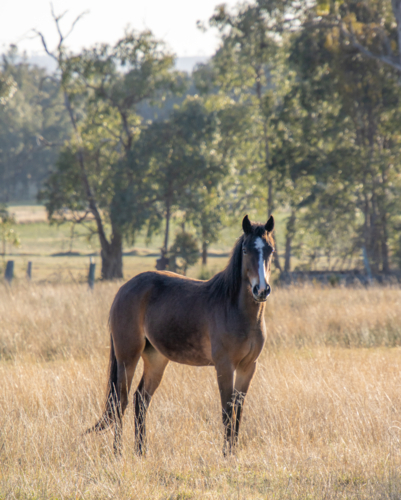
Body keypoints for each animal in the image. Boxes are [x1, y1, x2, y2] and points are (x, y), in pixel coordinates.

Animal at [86, 213, 276, 456]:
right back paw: (118, 453)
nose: (261, 290)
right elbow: (226, 410)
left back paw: (141, 452)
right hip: (127, 357)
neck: (235, 309)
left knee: (140, 400)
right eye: (245, 249)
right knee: (121, 401)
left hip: (156, 359)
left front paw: (233, 453)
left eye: (270, 249)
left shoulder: (248, 367)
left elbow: (238, 411)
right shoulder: (225, 366)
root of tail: (123, 289)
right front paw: (226, 455)